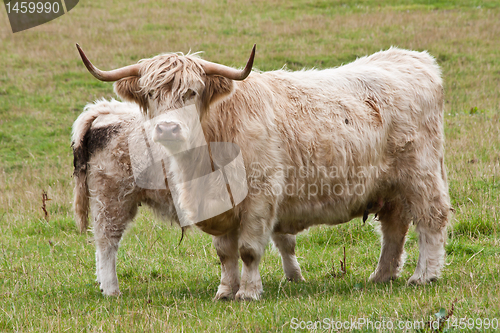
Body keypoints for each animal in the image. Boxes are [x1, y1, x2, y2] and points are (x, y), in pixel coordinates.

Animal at [72, 98, 302, 296]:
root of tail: (107, 111)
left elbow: (284, 240)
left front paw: (294, 276)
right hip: (113, 199)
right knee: (106, 241)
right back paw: (111, 289)